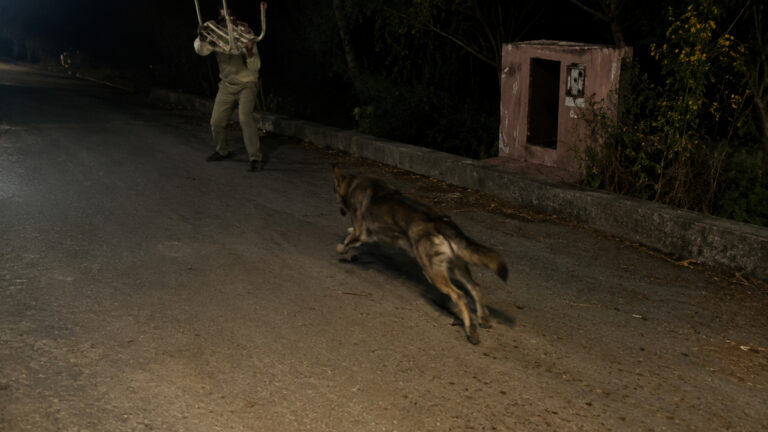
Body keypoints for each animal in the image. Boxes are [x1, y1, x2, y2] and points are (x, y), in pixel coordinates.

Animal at [332, 167, 508, 344]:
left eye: (335, 192)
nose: (340, 211)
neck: (354, 184)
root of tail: (440, 222)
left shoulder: (360, 232)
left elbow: (347, 242)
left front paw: (341, 249)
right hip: (455, 268)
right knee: (475, 287)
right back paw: (483, 318)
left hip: (433, 273)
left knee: (459, 295)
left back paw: (471, 330)